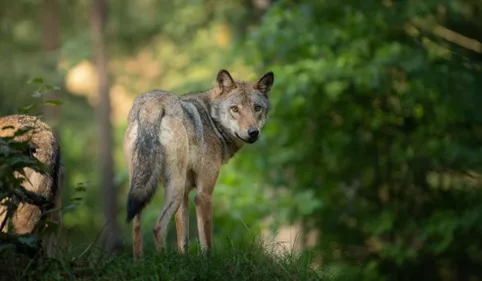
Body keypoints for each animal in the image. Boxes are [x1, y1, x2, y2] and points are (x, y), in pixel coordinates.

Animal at [124, 69, 274, 260]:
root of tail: (153, 103)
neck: (212, 120)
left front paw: (183, 261)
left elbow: (183, 241)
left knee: (136, 227)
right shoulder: (203, 194)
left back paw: (139, 263)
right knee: (158, 227)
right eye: (235, 109)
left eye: (257, 108)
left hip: (142, 187)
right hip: (174, 188)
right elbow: (206, 242)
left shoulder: (185, 195)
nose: (253, 132)